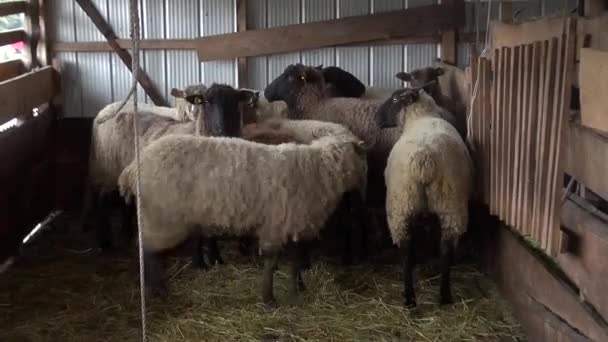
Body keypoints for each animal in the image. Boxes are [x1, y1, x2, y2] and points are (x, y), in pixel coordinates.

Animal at [78, 84, 254, 260]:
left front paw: (217, 255)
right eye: (207, 102)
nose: (221, 129)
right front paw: (205, 257)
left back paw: (126, 233)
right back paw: (104, 243)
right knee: (102, 201)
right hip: (106, 169)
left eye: (234, 101)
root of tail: (104, 113)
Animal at [116, 123, 368, 302]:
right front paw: (269, 298)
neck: (317, 170)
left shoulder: (295, 225)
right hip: (162, 218)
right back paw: (156, 288)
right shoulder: (276, 225)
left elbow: (296, 261)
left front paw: (298, 288)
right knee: (144, 249)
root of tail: (132, 169)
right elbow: (271, 262)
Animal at [376, 85, 476, 308]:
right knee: (446, 247)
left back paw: (409, 297)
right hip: (450, 203)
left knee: (405, 249)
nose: (376, 118)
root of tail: (424, 157)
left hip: (400, 205)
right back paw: (444, 295)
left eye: (394, 99)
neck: (421, 116)